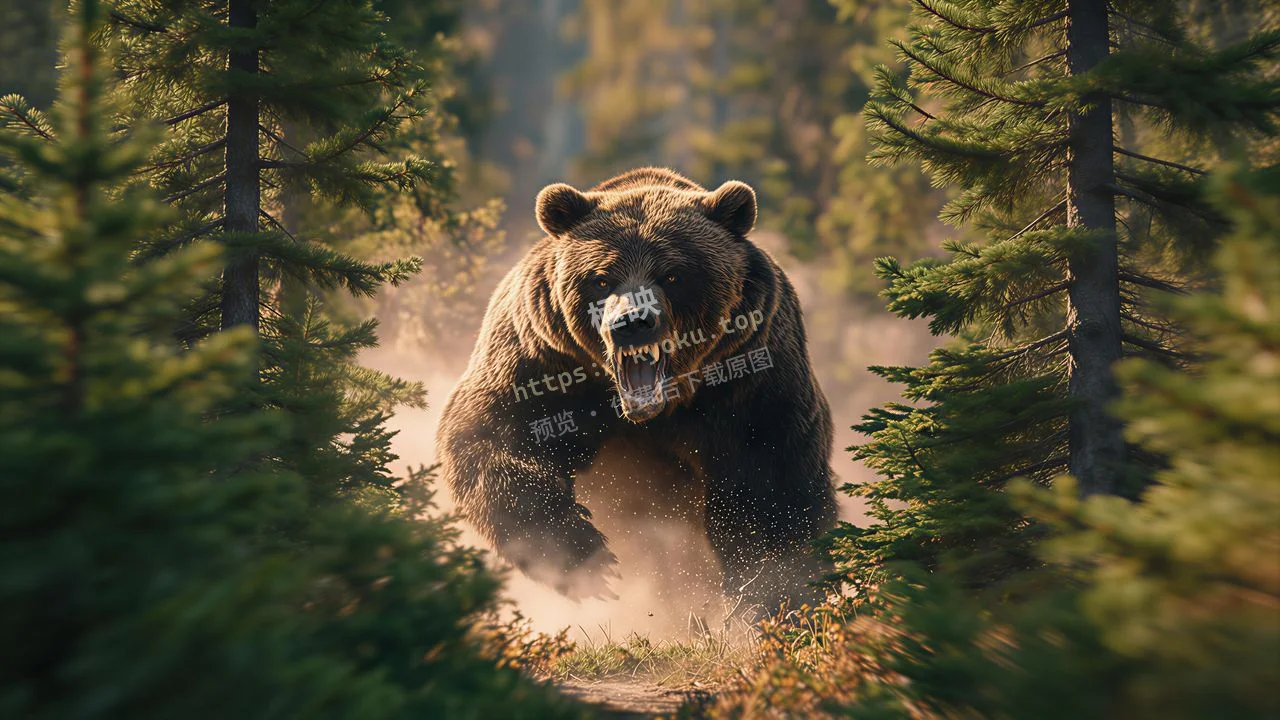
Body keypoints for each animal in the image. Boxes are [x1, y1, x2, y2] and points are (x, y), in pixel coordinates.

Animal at [435, 167, 837, 611]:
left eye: (673, 274)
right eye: (600, 278)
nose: (632, 321)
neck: (653, 409)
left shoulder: (752, 379)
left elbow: (769, 486)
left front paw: (775, 591)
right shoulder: (540, 357)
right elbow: (489, 438)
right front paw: (591, 562)